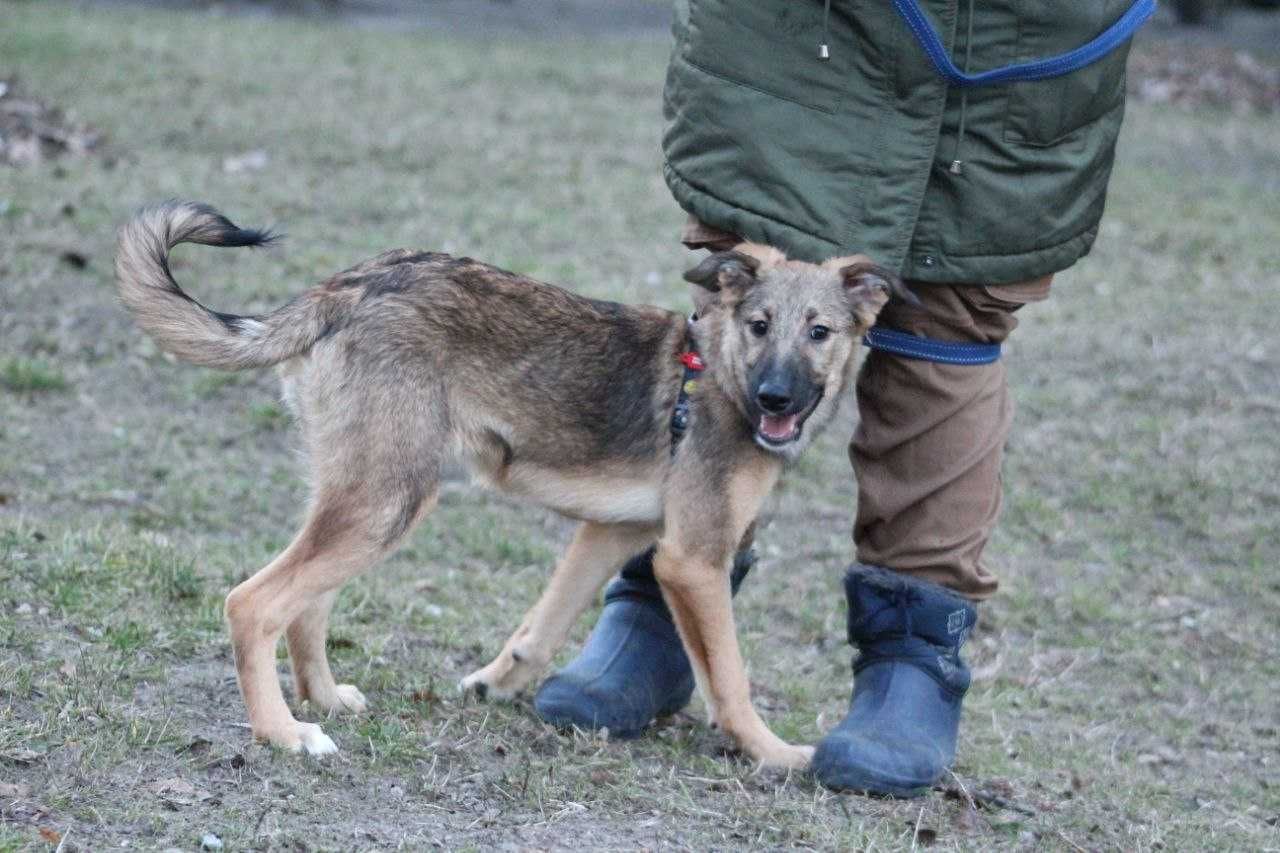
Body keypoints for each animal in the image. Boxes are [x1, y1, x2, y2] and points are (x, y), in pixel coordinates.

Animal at [112, 202, 911, 768]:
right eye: (759, 325)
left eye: (819, 333)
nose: (776, 398)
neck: (716, 372)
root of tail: (349, 285)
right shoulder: (693, 559)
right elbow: (733, 681)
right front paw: (776, 754)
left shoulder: (614, 533)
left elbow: (543, 625)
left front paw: (495, 686)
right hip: (388, 502)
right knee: (252, 603)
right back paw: (283, 732)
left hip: (364, 495)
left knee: (305, 604)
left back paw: (324, 699)